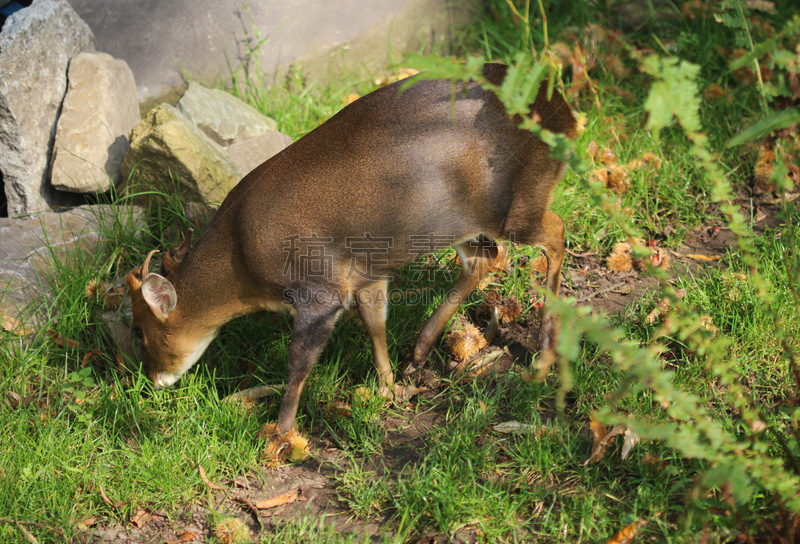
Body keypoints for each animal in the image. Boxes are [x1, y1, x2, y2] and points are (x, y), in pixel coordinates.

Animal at [126, 63, 576, 444]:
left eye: (141, 331)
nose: (150, 379)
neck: (241, 256)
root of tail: (564, 112)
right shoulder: (365, 275)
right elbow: (375, 325)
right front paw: (389, 389)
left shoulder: (320, 289)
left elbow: (299, 362)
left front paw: (280, 434)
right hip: (451, 224)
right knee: (487, 256)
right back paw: (420, 350)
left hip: (517, 204)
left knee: (556, 231)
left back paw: (543, 359)